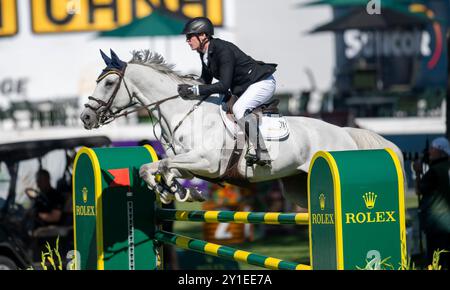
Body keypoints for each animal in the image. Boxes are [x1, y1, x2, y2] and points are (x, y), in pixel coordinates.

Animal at [81, 49, 404, 208]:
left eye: (109, 83)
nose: (85, 117)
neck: (183, 113)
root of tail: (345, 131)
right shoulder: (189, 164)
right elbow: (158, 167)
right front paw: (173, 191)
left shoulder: (207, 163)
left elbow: (159, 165)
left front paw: (172, 191)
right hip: (298, 187)